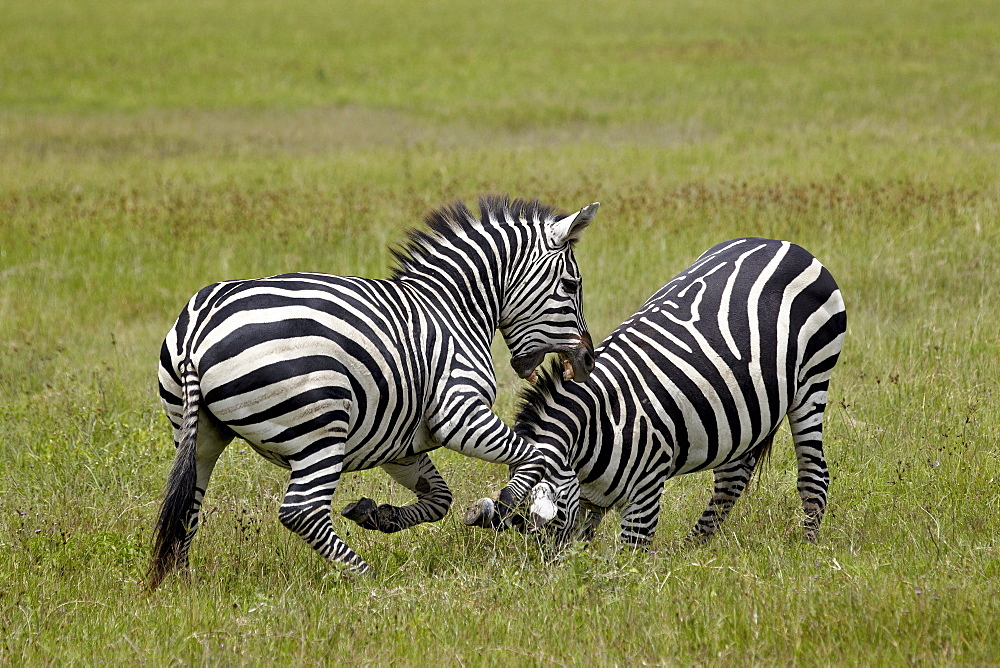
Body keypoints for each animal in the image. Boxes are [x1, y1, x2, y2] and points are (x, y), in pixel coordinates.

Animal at [146, 194, 600, 588]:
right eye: (572, 285)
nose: (587, 361)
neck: (455, 310)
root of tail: (200, 327)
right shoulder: (459, 415)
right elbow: (539, 458)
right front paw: (510, 507)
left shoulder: (402, 443)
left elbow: (440, 498)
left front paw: (379, 516)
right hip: (320, 424)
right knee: (302, 511)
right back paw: (365, 577)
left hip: (198, 433)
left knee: (187, 506)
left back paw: (182, 583)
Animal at [472, 237, 848, 552]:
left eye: (544, 524)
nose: (545, 572)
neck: (597, 429)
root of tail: (786, 245)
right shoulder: (592, 499)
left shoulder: (647, 492)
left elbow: (628, 564)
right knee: (732, 476)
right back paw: (692, 550)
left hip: (813, 379)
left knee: (814, 473)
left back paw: (807, 549)